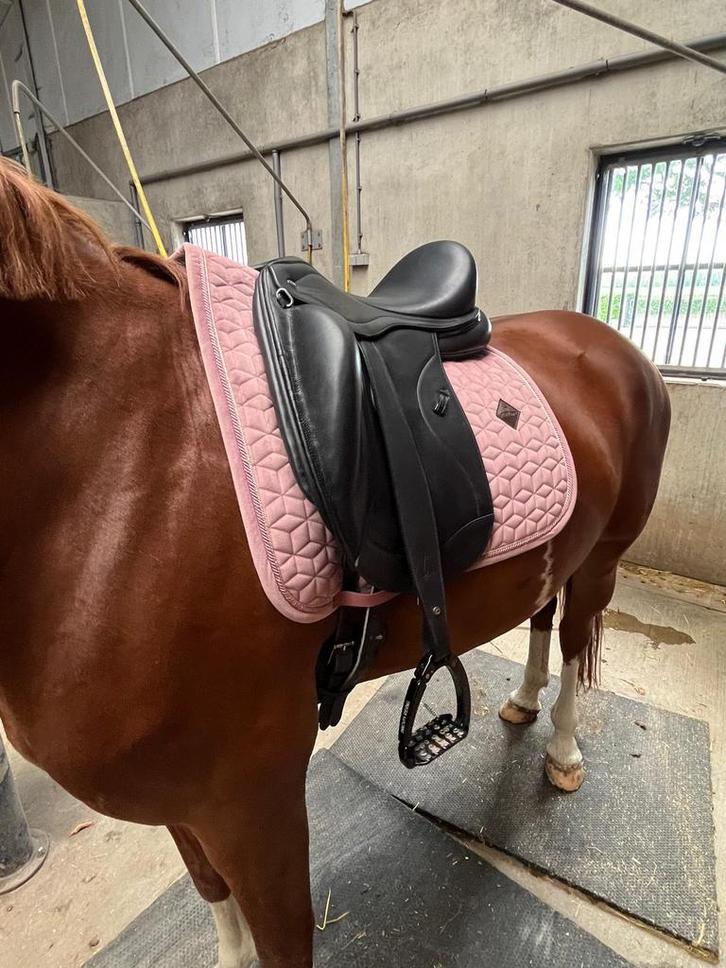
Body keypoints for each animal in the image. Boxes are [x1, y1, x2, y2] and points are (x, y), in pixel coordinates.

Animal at [0, 158, 669, 968]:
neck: (122, 456)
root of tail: (608, 343)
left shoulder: (251, 798)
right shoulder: (182, 802)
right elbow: (216, 906)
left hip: (604, 556)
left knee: (575, 640)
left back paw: (564, 749)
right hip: (563, 548)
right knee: (544, 615)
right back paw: (523, 699)